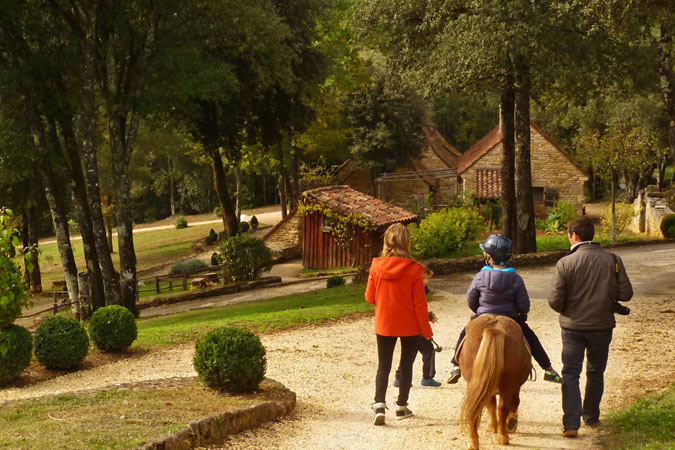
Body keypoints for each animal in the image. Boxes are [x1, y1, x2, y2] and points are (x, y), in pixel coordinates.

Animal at [460, 314, 532, 448]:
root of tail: (495, 328)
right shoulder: (515, 386)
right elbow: (513, 402)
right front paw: (510, 422)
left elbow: (490, 404)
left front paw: (493, 426)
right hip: (507, 384)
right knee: (503, 407)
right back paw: (503, 437)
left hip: (475, 383)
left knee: (475, 408)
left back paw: (473, 442)